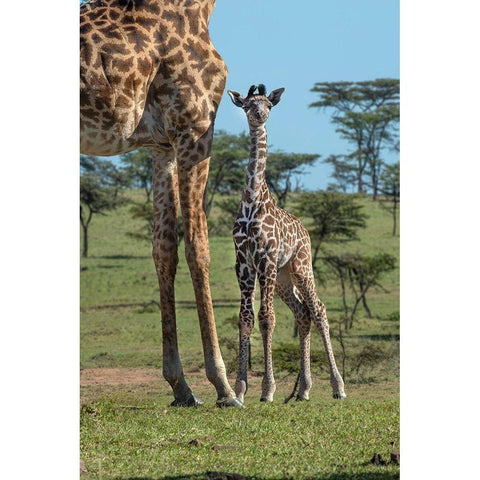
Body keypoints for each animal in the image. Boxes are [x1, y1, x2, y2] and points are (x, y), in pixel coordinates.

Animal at [81, 0, 242, 406]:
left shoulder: (162, 145)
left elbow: (164, 249)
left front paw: (180, 385)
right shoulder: (195, 128)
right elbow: (198, 248)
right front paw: (224, 387)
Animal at [229, 85, 344, 402]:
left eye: (268, 104)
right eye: (247, 105)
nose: (259, 115)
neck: (252, 200)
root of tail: (305, 230)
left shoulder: (266, 258)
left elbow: (267, 318)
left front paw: (267, 390)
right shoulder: (243, 262)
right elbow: (245, 318)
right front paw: (239, 389)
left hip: (301, 266)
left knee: (318, 309)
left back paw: (338, 387)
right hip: (283, 276)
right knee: (302, 312)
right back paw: (303, 390)